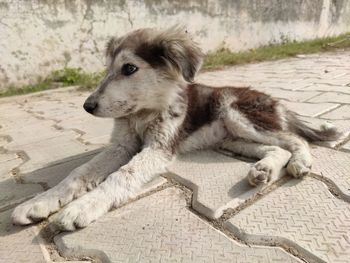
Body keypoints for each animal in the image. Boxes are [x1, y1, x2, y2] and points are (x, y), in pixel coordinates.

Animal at [11, 26, 340, 231]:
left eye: (129, 68)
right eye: (107, 70)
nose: (87, 106)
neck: (142, 114)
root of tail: (274, 101)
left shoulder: (158, 148)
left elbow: (122, 175)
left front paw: (84, 206)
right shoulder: (121, 145)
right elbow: (78, 173)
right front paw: (40, 202)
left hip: (237, 114)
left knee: (295, 139)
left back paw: (300, 162)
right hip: (230, 139)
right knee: (277, 148)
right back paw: (263, 171)